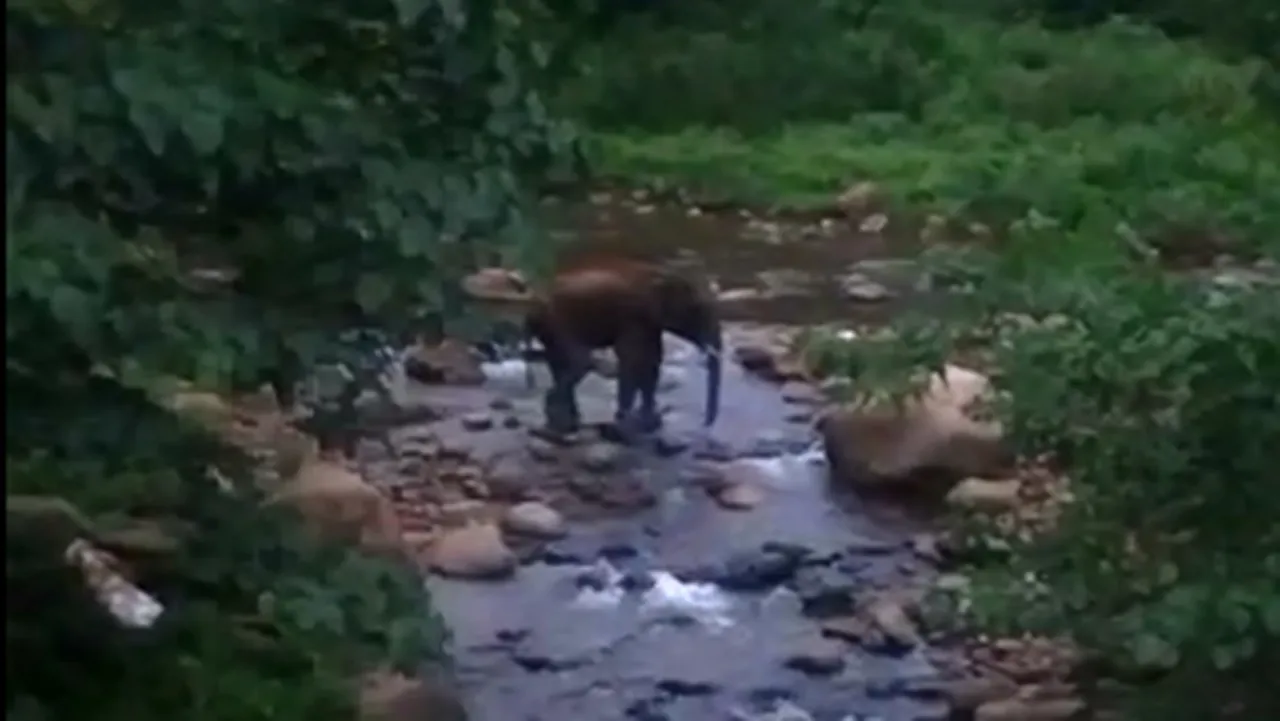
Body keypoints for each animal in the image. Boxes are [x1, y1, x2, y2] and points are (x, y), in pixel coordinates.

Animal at [519, 256, 721, 437]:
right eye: (697, 308)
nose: (705, 423)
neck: (660, 270)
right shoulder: (634, 316)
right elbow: (632, 358)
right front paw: (625, 425)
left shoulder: (649, 322)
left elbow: (653, 359)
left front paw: (649, 424)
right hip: (558, 322)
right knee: (580, 360)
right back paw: (560, 421)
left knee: (558, 361)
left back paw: (567, 422)